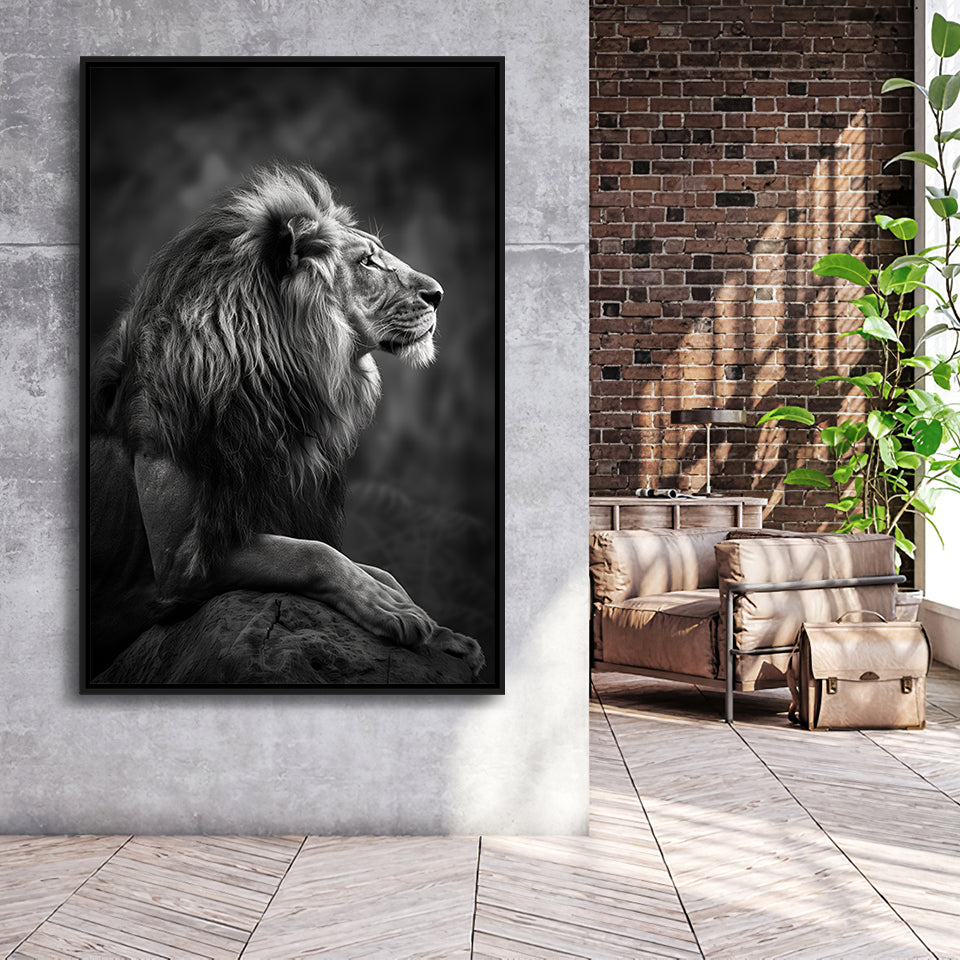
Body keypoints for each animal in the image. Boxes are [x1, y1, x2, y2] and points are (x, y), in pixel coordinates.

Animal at [88, 163, 485, 682]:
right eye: (368, 262)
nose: (438, 295)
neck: (275, 387)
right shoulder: (179, 563)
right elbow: (313, 554)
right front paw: (391, 609)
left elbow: (375, 568)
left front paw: (440, 631)